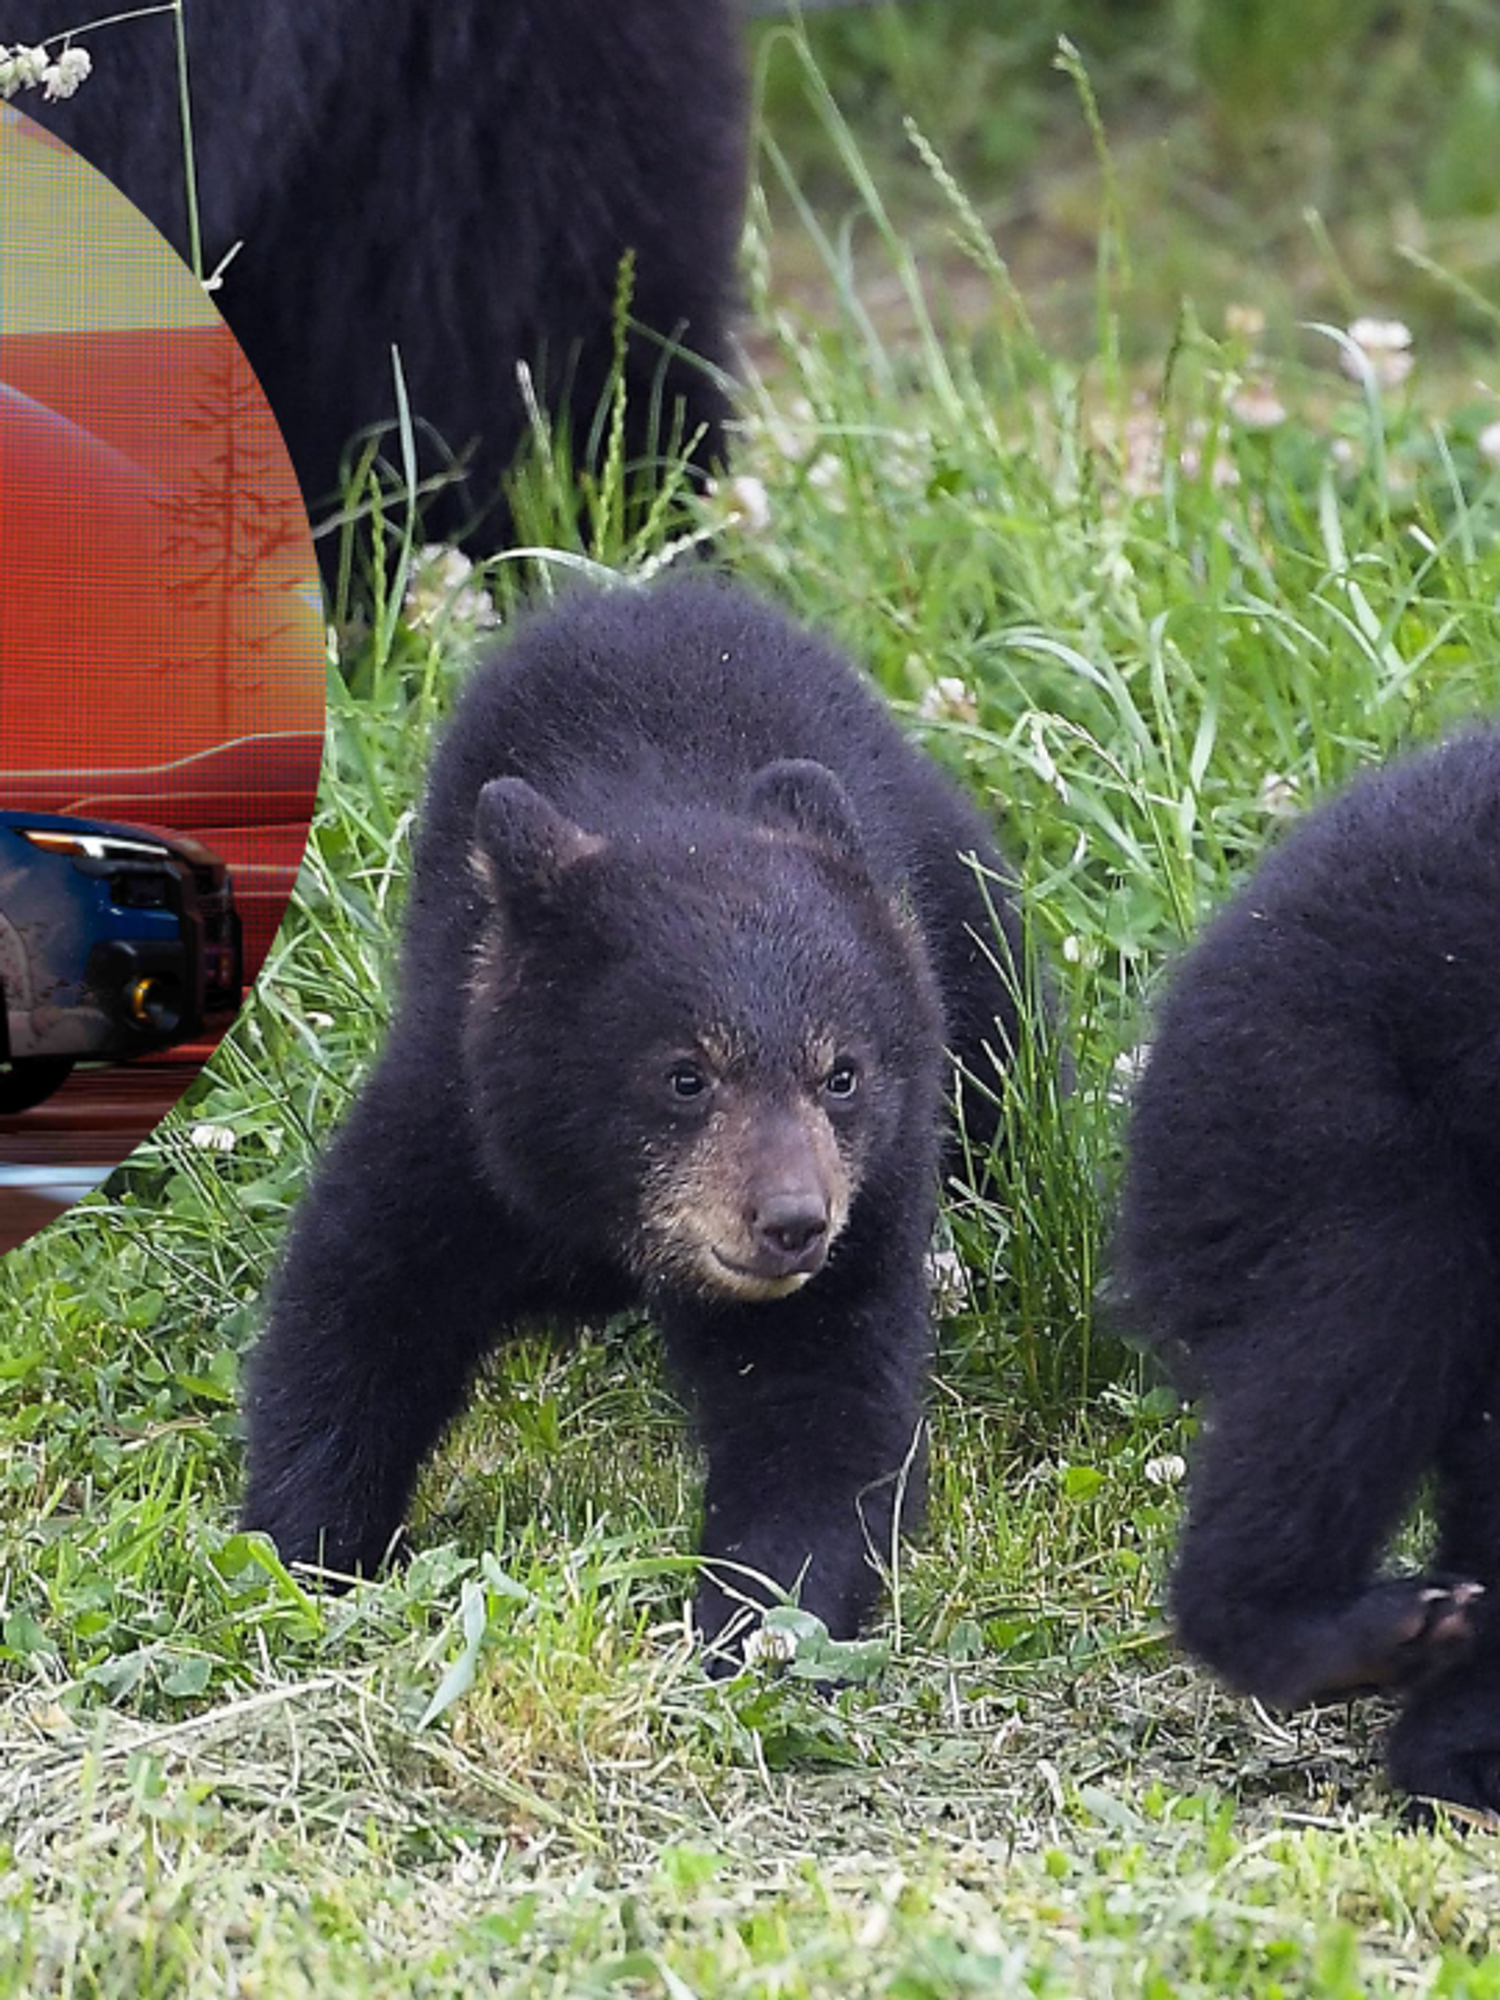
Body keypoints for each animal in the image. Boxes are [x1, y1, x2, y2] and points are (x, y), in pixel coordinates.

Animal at [240, 576, 1037, 1655]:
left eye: (842, 1073)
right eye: (684, 1076)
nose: (792, 1221)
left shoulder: (872, 1197)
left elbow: (827, 1398)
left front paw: (756, 1622)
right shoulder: (463, 1111)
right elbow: (358, 1304)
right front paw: (304, 1551)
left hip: (965, 917)